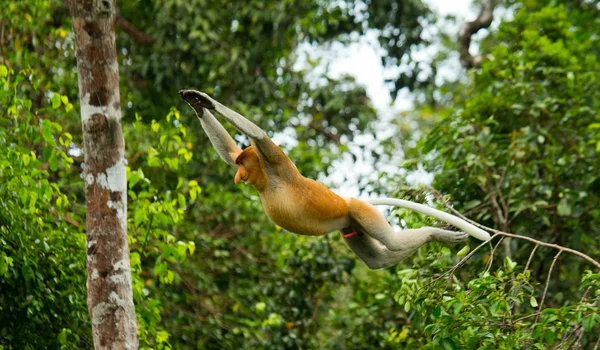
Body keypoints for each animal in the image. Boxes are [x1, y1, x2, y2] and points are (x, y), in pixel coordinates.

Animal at [180, 89, 490, 270]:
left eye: (243, 166)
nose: (237, 177)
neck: (267, 181)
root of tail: (349, 199)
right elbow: (228, 149)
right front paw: (196, 104)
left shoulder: (279, 165)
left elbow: (259, 135)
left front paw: (204, 99)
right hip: (350, 225)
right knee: (378, 259)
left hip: (359, 211)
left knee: (392, 243)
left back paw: (439, 234)